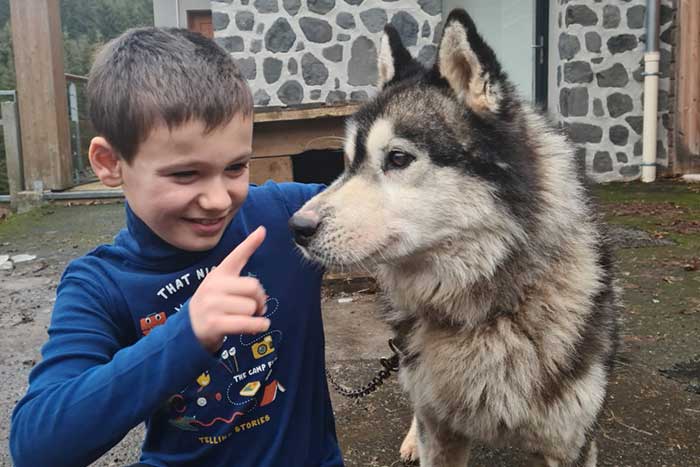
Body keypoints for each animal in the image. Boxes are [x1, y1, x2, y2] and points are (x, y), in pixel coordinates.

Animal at [288, 8, 616, 467]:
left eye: (398, 158)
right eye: (349, 163)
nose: (296, 228)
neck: (488, 311)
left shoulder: (568, 444)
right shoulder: (440, 432)